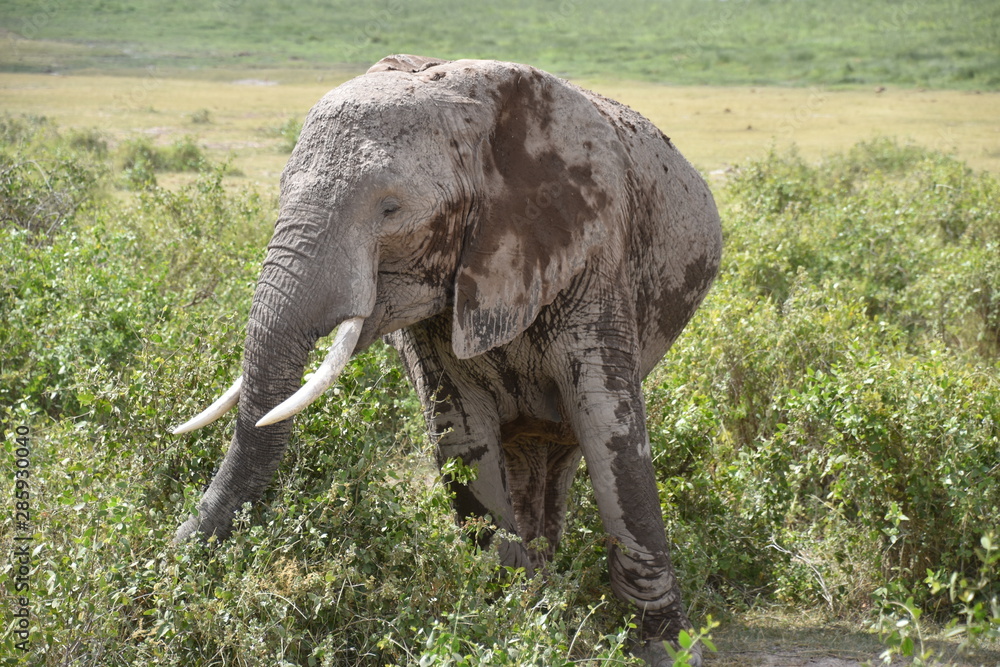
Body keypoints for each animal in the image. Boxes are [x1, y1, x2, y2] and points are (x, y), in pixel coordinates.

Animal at [172, 54, 722, 665]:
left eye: (390, 209)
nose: (170, 554)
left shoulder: (593, 256)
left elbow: (611, 431)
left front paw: (669, 648)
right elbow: (459, 429)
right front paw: (511, 621)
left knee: (568, 445)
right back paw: (543, 582)